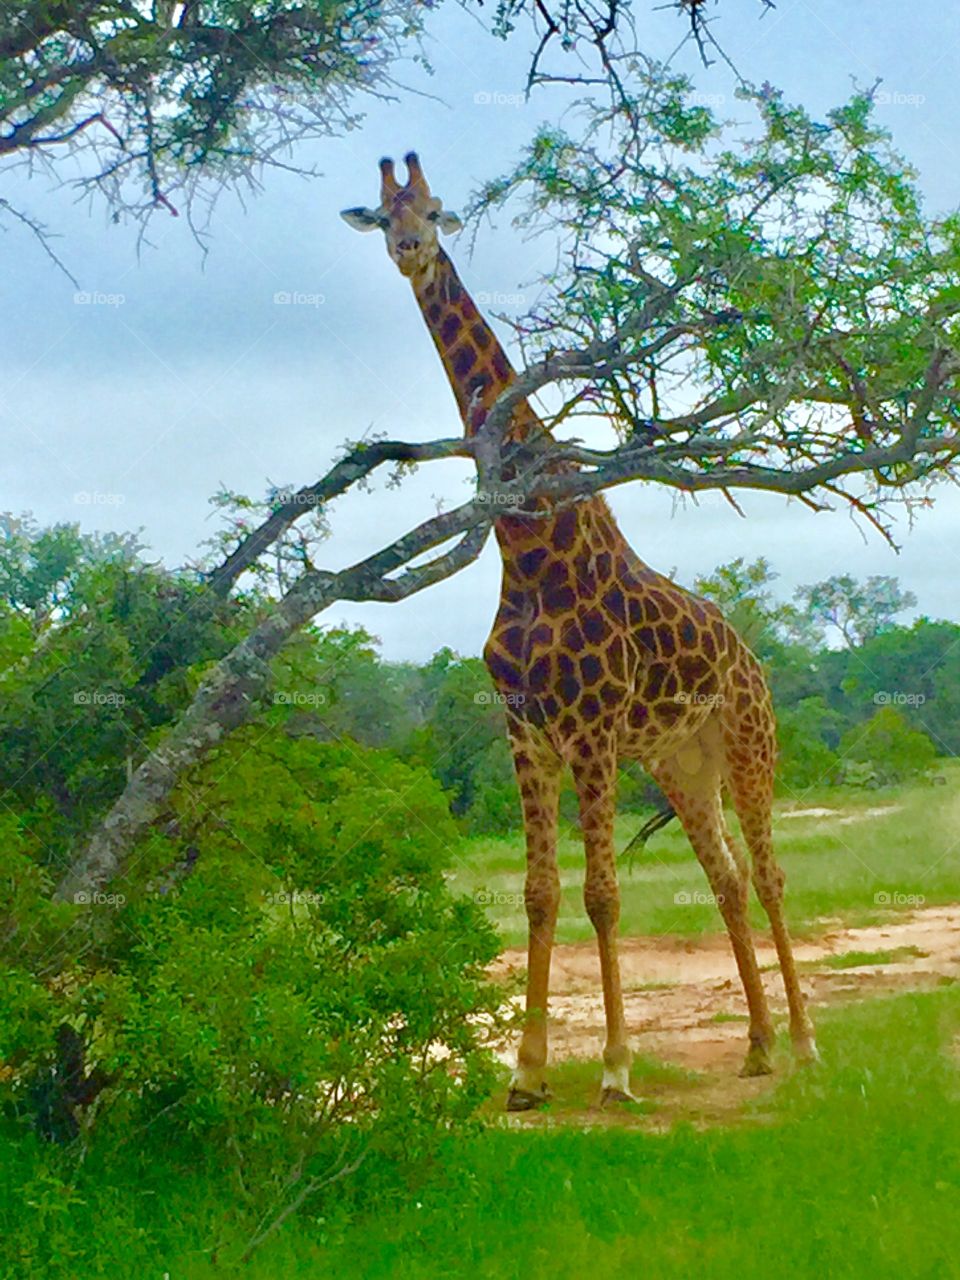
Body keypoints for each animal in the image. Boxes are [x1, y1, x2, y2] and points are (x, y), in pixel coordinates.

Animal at [342, 153, 818, 1109]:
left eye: (434, 210)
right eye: (381, 214)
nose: (410, 251)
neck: (528, 551)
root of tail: (751, 656)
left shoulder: (591, 731)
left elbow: (602, 893)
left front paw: (615, 1067)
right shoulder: (526, 732)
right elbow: (539, 893)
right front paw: (525, 1075)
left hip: (748, 742)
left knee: (771, 873)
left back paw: (806, 1042)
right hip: (681, 763)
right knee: (727, 879)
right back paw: (755, 1044)